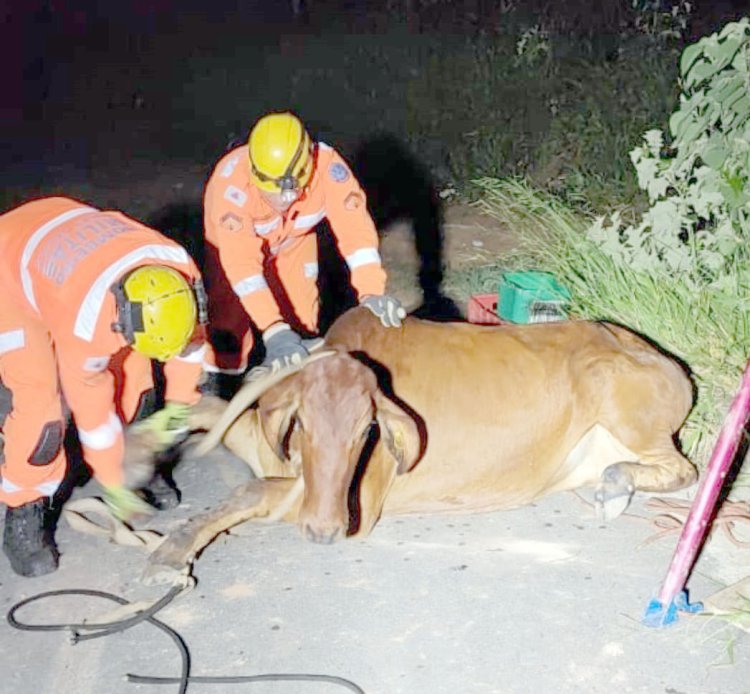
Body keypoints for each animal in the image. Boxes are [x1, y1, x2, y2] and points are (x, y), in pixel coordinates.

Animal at [145, 308, 700, 584]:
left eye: (366, 430)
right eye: (302, 422)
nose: (323, 531)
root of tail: (667, 362)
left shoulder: (360, 505)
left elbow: (251, 490)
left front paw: (170, 552)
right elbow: (206, 411)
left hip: (623, 402)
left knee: (687, 471)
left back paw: (618, 486)